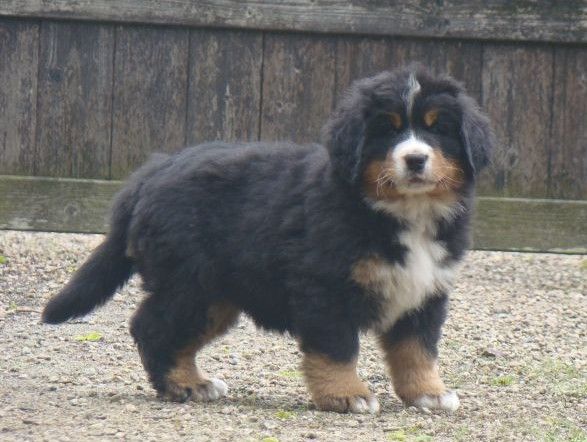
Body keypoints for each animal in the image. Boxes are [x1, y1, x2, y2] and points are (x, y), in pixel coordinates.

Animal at [42, 66, 494, 414]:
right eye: (387, 130)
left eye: (438, 130)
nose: (415, 159)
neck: (399, 212)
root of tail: (152, 171)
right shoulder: (325, 288)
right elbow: (336, 349)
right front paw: (347, 396)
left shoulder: (425, 292)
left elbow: (417, 351)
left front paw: (429, 394)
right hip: (189, 284)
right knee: (151, 326)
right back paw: (181, 386)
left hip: (215, 296)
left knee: (174, 334)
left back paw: (195, 382)